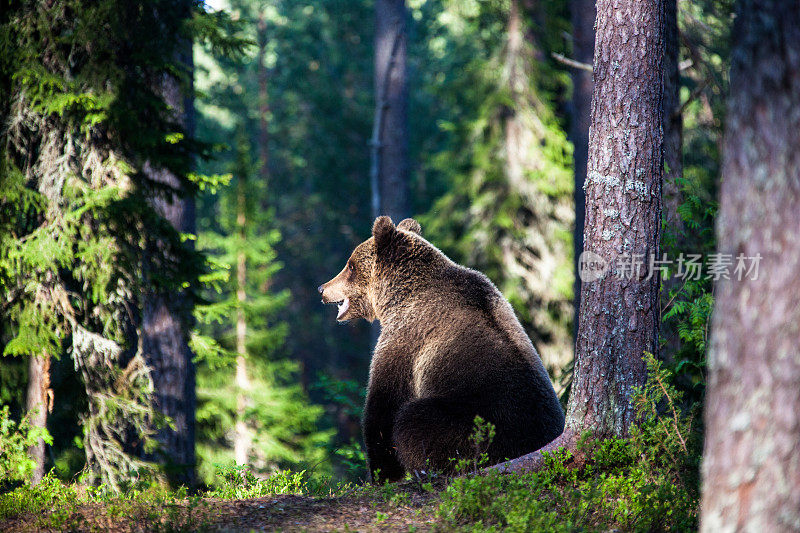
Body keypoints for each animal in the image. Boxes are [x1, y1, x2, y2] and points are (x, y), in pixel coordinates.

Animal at [318, 214, 564, 480]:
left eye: (350, 265)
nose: (322, 289)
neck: (397, 296)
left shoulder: (406, 339)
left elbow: (384, 408)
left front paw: (381, 474)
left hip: (476, 424)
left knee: (413, 421)